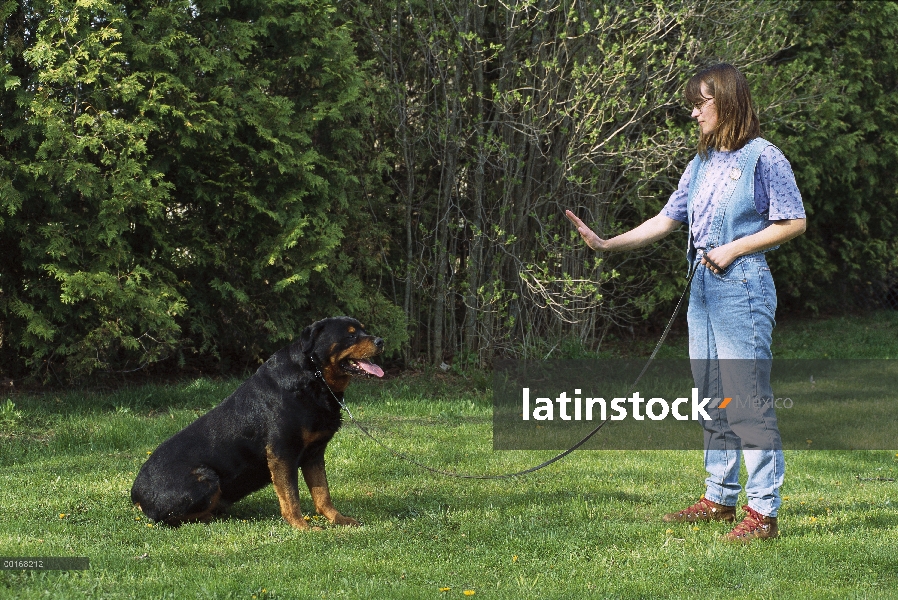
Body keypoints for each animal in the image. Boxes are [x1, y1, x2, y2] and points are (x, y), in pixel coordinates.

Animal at [130, 316, 382, 528]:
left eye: (364, 330)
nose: (380, 340)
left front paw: (339, 519)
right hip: (206, 478)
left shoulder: (314, 453)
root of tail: (135, 494)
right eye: (350, 335)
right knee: (169, 519)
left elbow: (323, 494)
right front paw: (302, 527)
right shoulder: (282, 452)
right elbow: (290, 497)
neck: (315, 378)